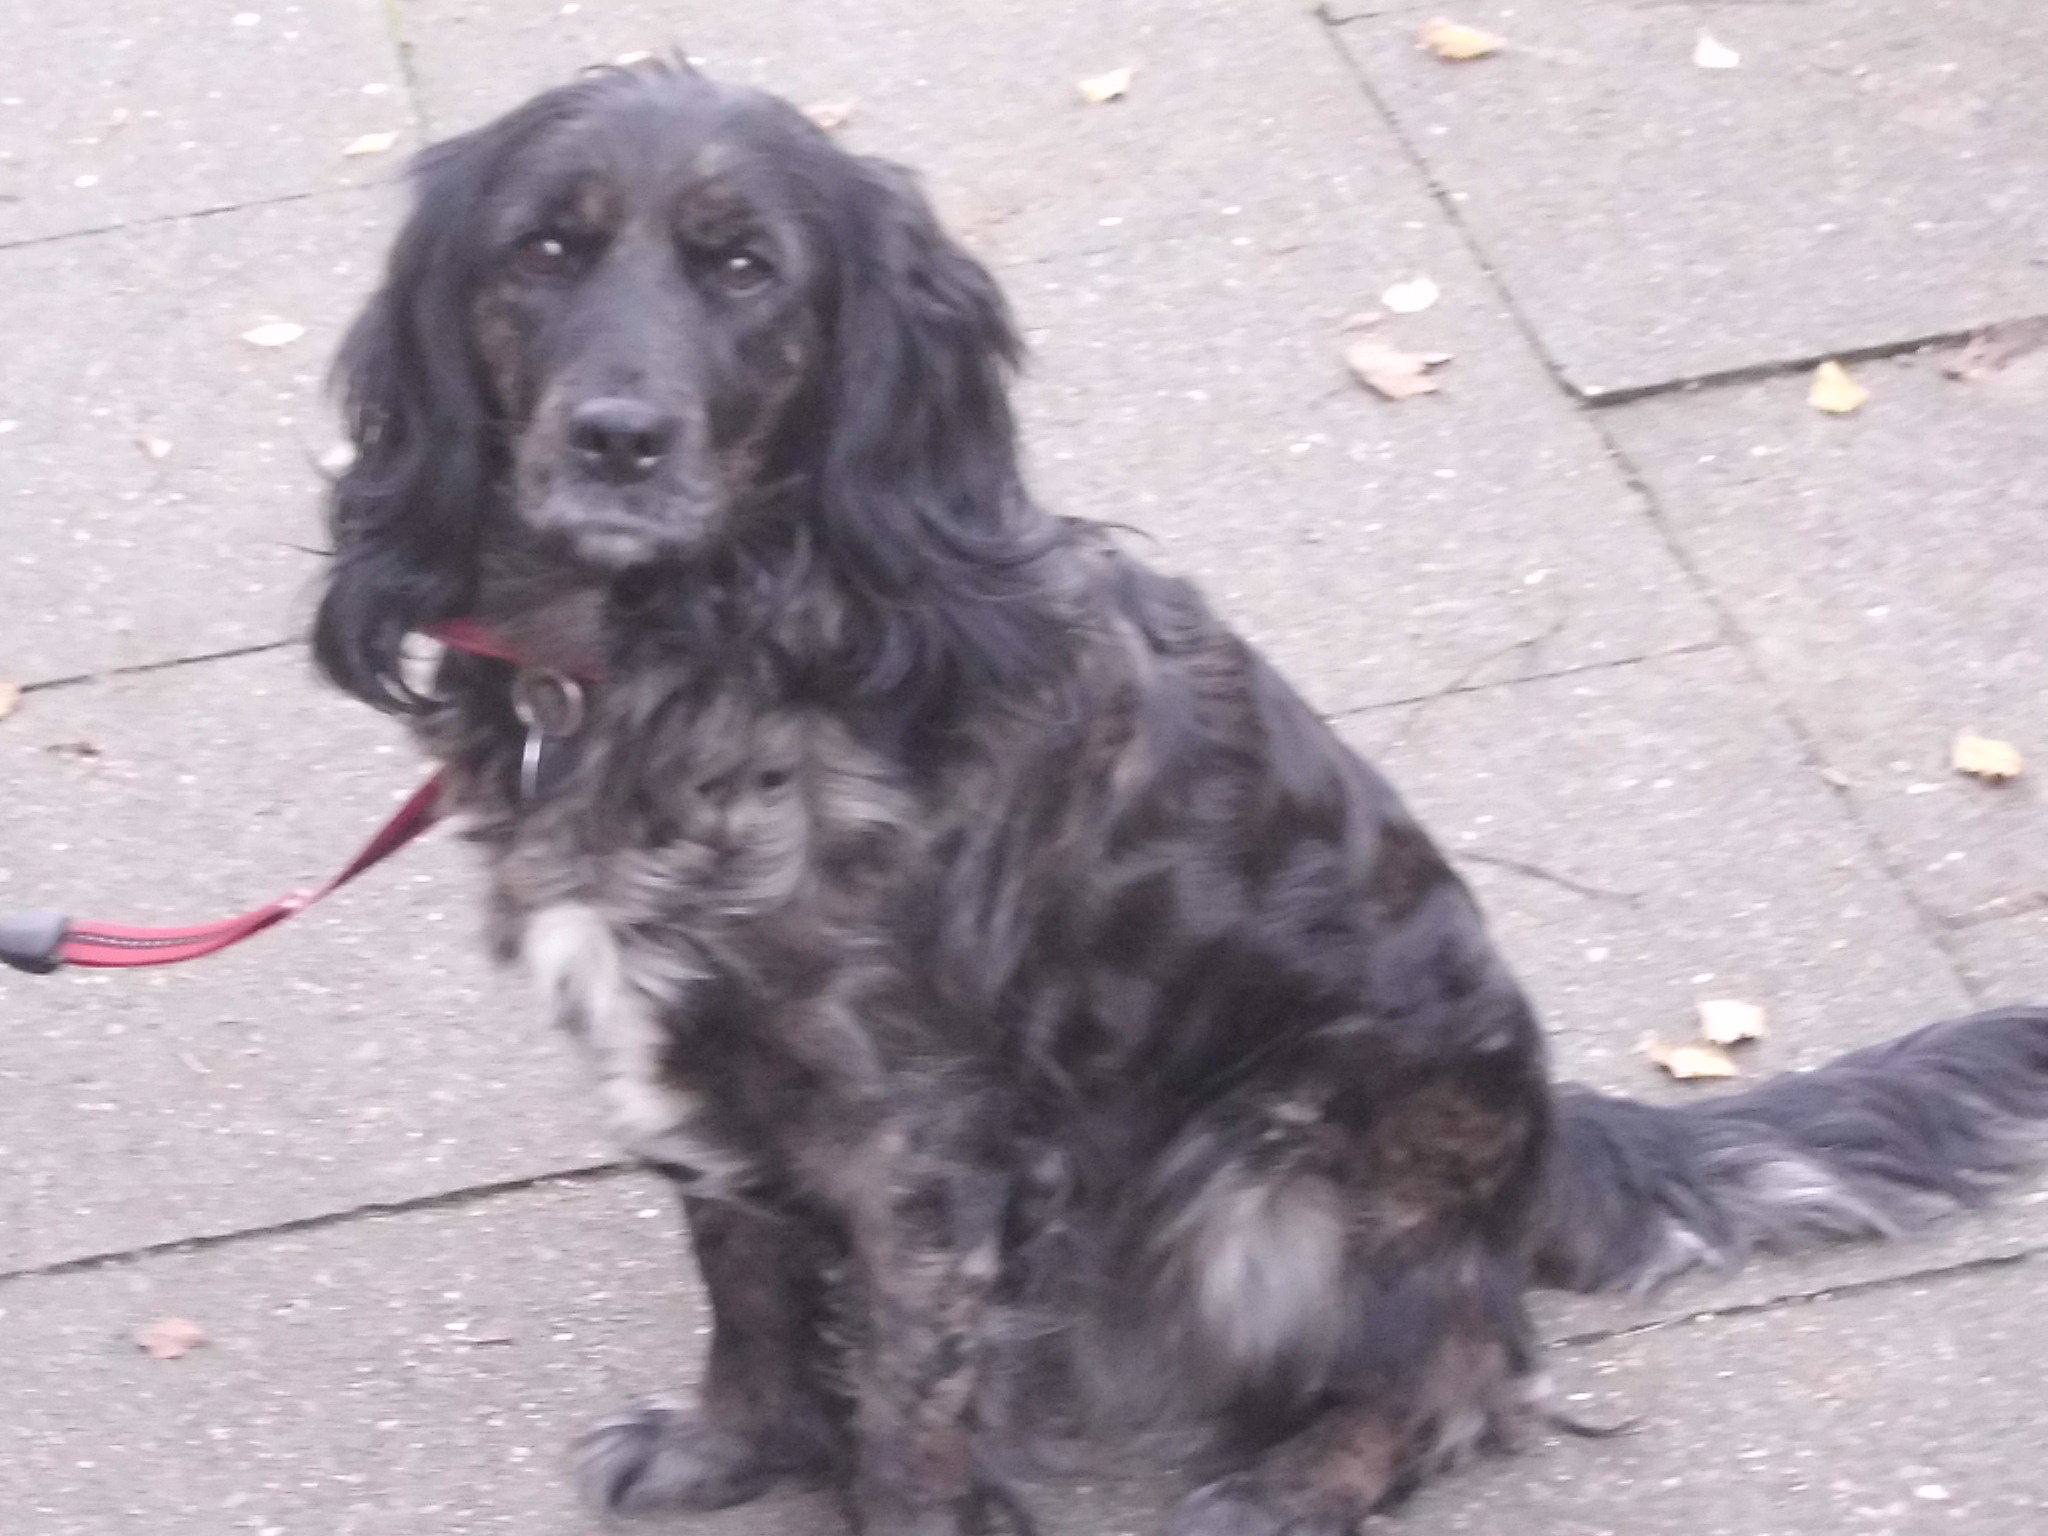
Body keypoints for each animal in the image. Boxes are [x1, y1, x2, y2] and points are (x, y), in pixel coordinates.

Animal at [311, 66, 2048, 1531]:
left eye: (744, 271)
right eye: (544, 251)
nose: (617, 436)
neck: (685, 655)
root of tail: (1548, 1143)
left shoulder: (921, 1155)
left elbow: (915, 1422)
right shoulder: (704, 1087)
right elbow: (742, 1285)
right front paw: (733, 1445)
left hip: (1265, 1175)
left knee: (1474, 1366)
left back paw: (1297, 1484)